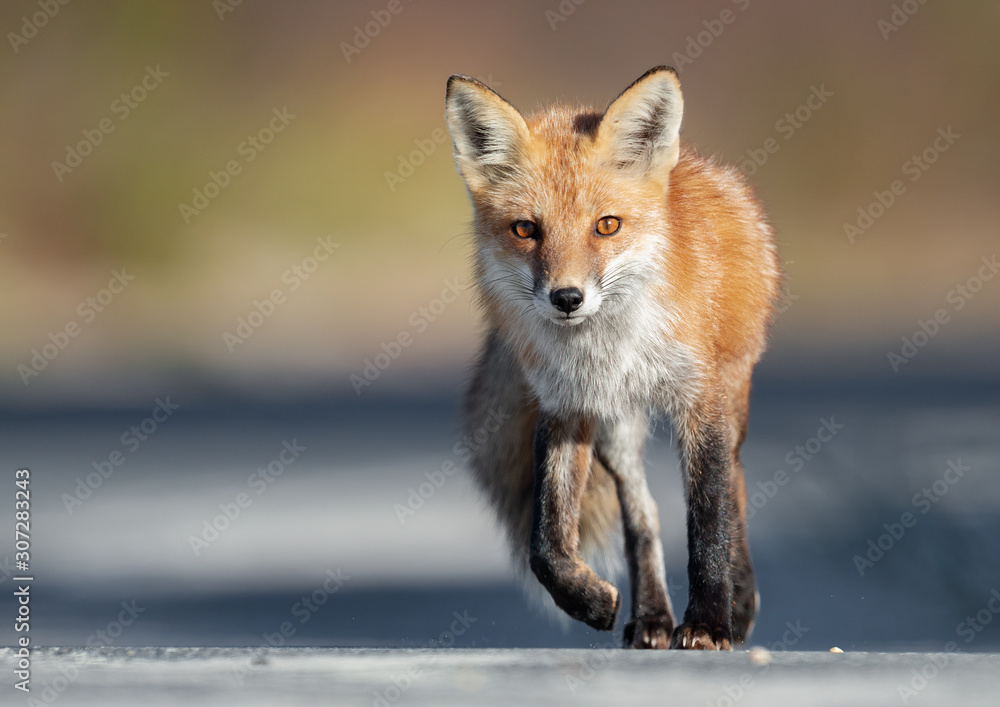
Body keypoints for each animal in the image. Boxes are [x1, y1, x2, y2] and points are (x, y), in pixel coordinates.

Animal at [445, 66, 781, 650]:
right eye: (525, 229)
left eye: (606, 225)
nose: (566, 298)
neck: (615, 349)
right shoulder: (566, 406)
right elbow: (546, 542)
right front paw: (588, 600)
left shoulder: (702, 401)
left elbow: (709, 518)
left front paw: (710, 621)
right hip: (616, 432)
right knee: (642, 512)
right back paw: (653, 617)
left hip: (731, 395)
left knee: (734, 485)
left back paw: (737, 602)